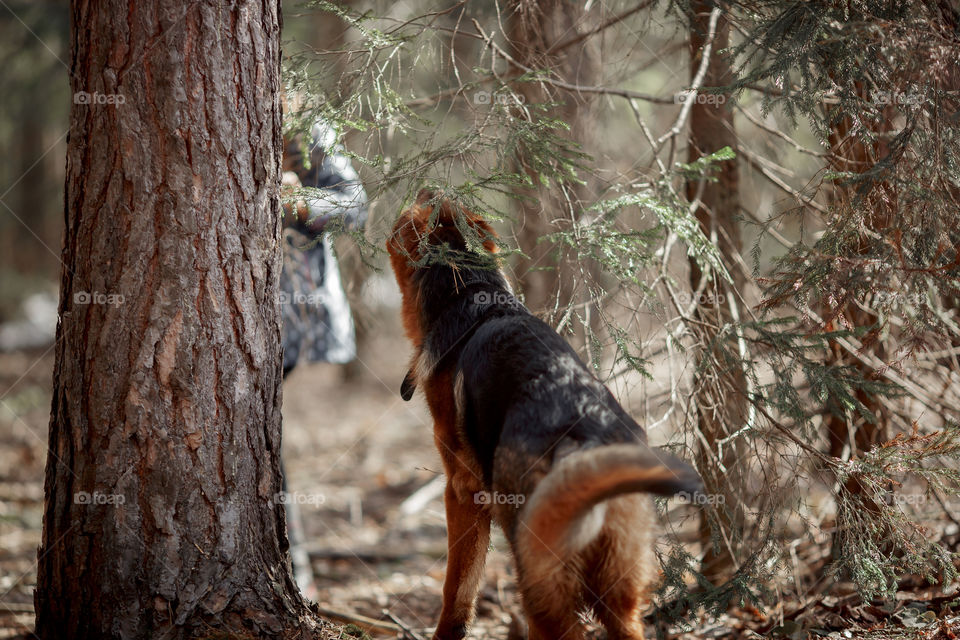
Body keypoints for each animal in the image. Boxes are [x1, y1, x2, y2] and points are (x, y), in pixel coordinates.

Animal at [386, 190, 700, 640]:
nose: (433, 188)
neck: (472, 297)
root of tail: (583, 438)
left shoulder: (461, 491)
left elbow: (456, 590)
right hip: (620, 588)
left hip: (539, 576)